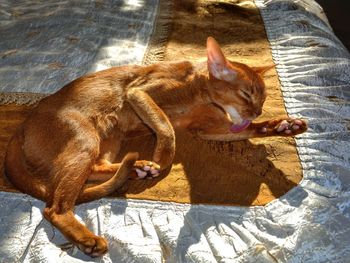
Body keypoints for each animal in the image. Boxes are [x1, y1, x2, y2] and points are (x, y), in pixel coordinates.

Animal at [4, 37, 306, 258]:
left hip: (110, 138)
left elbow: (246, 131)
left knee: (96, 170)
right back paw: (89, 238)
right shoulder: (139, 93)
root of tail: (20, 129)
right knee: (54, 207)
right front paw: (164, 156)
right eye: (246, 94)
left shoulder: (208, 130)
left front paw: (283, 126)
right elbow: (166, 128)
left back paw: (140, 167)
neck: (201, 96)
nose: (257, 111)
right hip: (86, 138)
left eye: (263, 99)